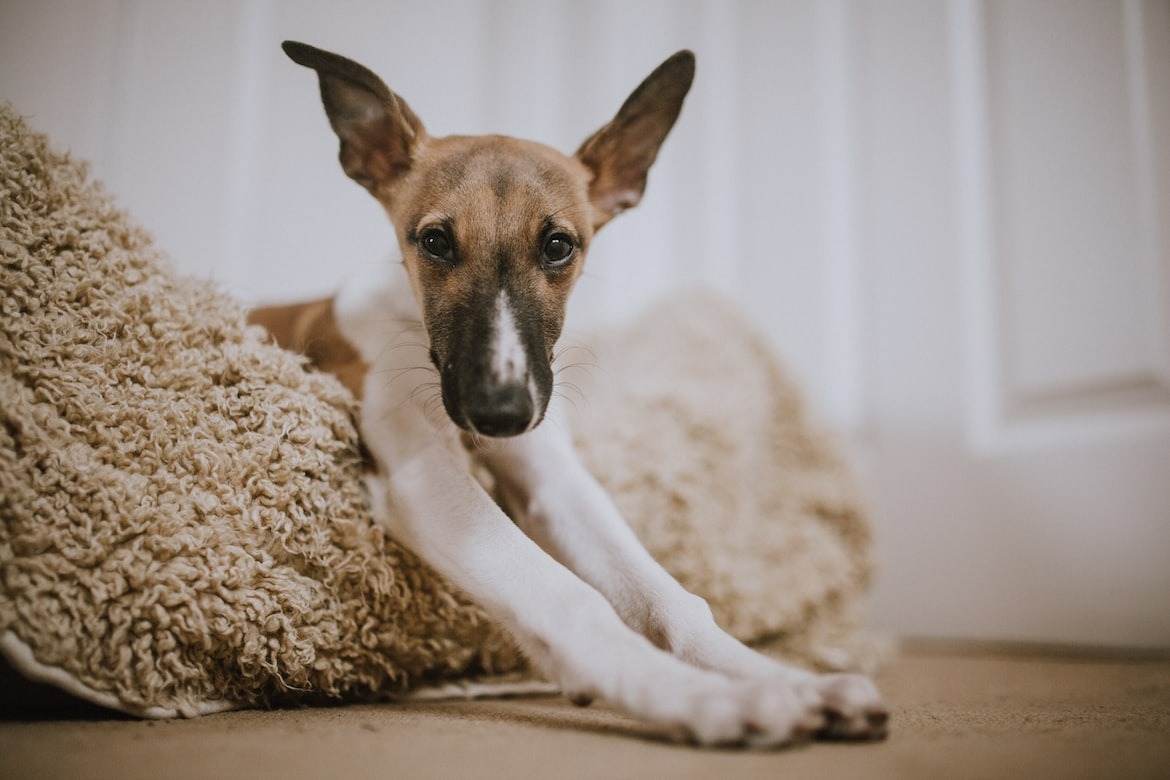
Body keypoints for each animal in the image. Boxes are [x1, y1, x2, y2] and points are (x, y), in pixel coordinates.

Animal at [249, 39, 884, 748]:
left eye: (558, 246)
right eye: (435, 240)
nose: (500, 415)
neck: (410, 324)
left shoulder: (553, 478)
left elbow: (671, 598)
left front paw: (782, 679)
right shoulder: (422, 476)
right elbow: (571, 599)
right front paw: (705, 697)